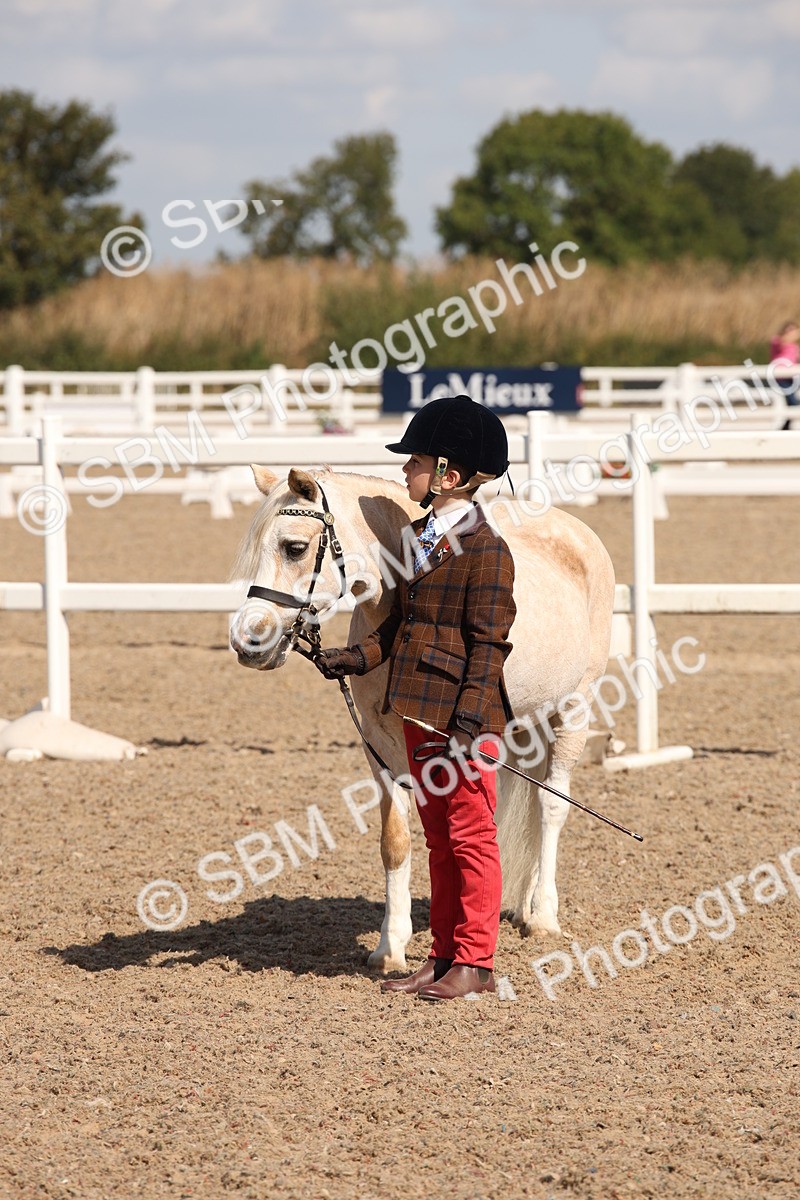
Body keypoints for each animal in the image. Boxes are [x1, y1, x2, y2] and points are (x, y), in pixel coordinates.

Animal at [229, 464, 616, 972]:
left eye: (293, 547)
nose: (246, 641)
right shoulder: (379, 748)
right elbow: (397, 841)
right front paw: (390, 948)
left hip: (574, 710)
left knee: (551, 807)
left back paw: (544, 916)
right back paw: (521, 907)